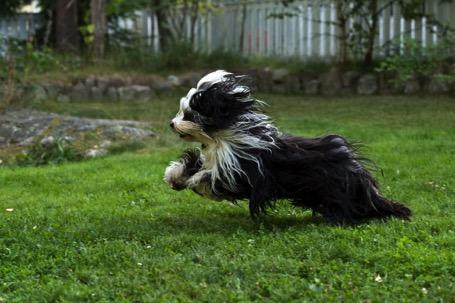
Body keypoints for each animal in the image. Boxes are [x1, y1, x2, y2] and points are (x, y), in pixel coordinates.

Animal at [165, 70, 414, 224]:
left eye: (189, 114)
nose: (172, 124)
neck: (221, 137)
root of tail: (359, 172)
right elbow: (194, 163)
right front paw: (175, 176)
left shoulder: (239, 172)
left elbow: (208, 178)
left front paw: (190, 181)